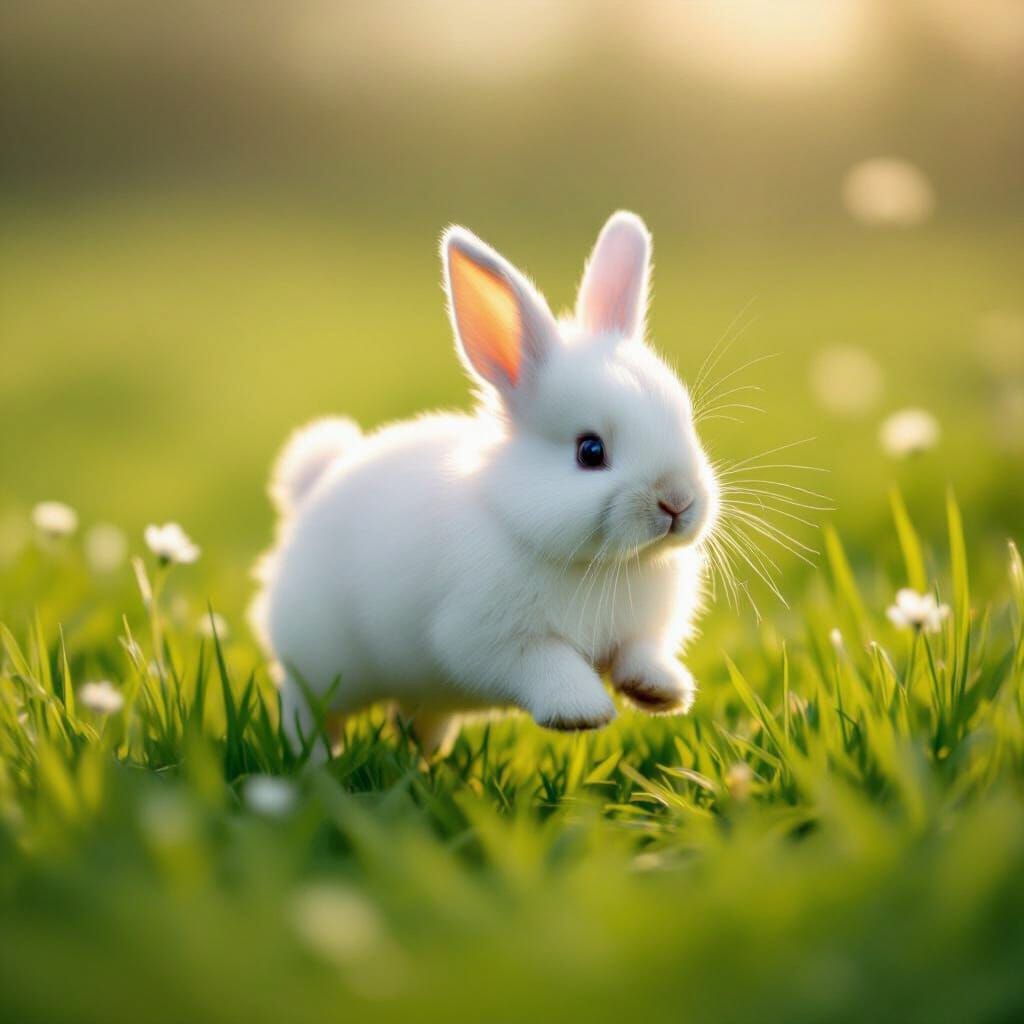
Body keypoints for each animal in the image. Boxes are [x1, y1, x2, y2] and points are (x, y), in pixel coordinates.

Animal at [250, 211, 718, 758]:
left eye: (685, 423)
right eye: (590, 451)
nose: (677, 501)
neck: (602, 566)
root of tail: (314, 485)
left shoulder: (641, 633)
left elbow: (639, 654)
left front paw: (662, 692)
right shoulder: (493, 641)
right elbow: (551, 663)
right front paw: (582, 713)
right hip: (320, 667)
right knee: (307, 708)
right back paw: (316, 759)